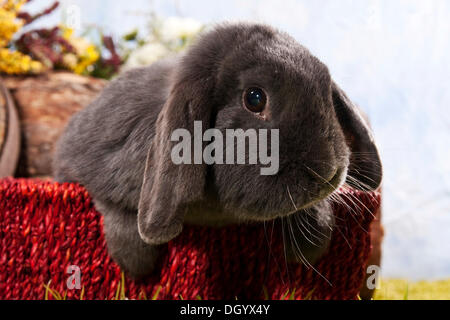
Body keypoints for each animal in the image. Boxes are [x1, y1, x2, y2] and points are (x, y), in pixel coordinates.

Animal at [53, 22, 384, 278]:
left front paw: (313, 242)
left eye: (325, 91)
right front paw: (136, 266)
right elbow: (116, 210)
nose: (328, 172)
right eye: (254, 98)